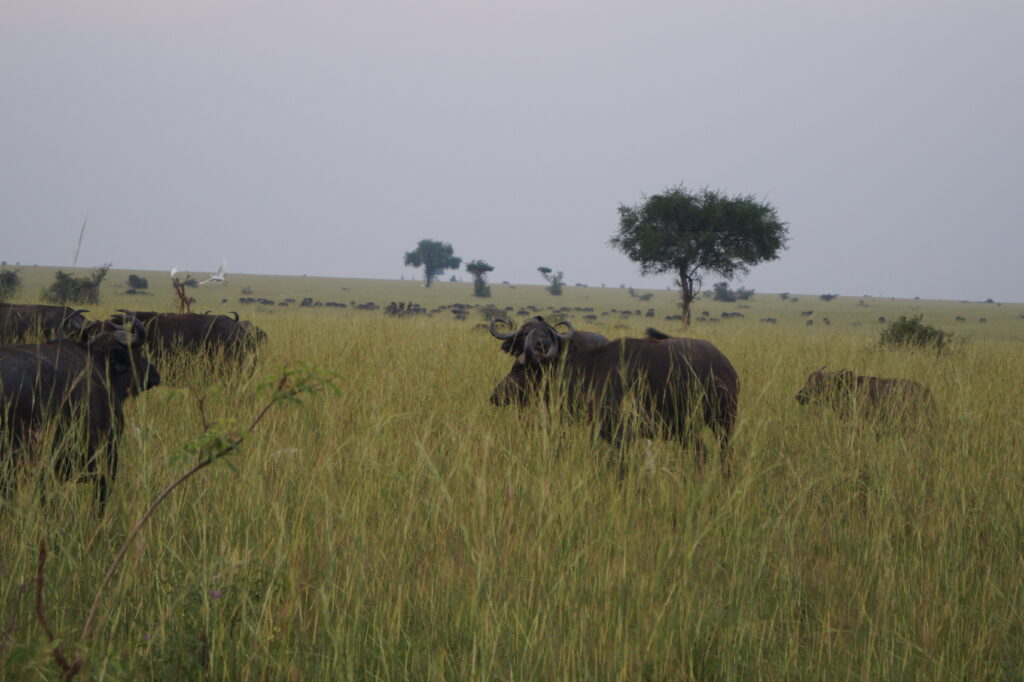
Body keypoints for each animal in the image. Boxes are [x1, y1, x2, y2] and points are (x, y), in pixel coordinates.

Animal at [489, 317, 739, 472]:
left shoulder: (622, 435)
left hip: (723, 422)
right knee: (701, 452)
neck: (589, 372)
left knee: (725, 454)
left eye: (518, 369)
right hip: (685, 429)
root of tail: (726, 365)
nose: (495, 396)